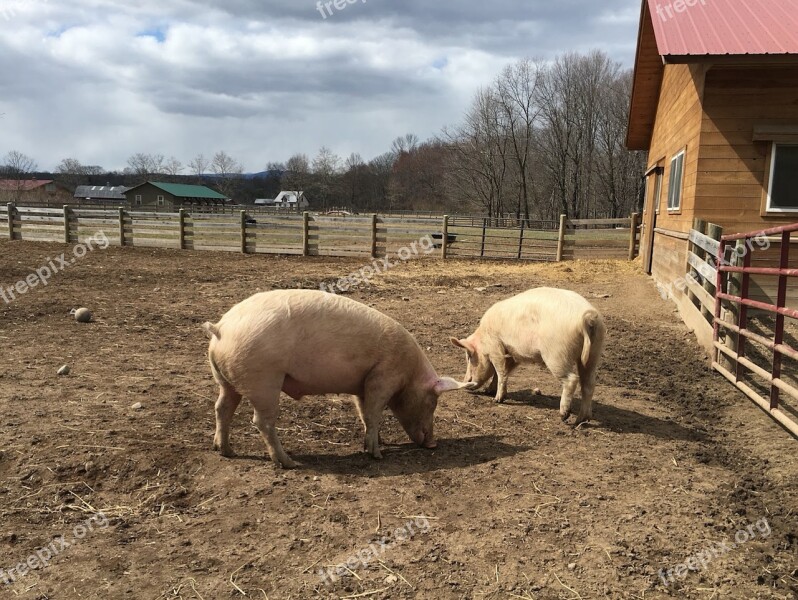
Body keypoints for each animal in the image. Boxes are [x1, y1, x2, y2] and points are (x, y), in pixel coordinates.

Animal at [203, 288, 472, 466]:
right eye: (432, 402)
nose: (433, 444)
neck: (408, 374)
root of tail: (221, 328)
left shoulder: (362, 385)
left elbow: (364, 413)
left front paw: (379, 441)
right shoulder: (382, 377)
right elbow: (374, 413)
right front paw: (378, 454)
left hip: (227, 381)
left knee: (222, 407)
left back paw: (225, 451)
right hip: (264, 380)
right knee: (261, 421)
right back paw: (289, 462)